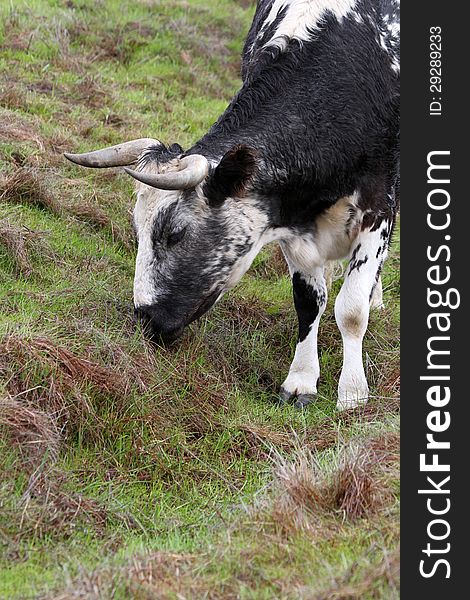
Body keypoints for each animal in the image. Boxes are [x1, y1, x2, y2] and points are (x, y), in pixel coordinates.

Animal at [64, 0, 398, 410]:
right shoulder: (285, 217)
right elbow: (308, 302)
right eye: (137, 229)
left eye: (175, 233)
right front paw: (301, 380)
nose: (144, 318)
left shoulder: (378, 208)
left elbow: (351, 309)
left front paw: (352, 392)